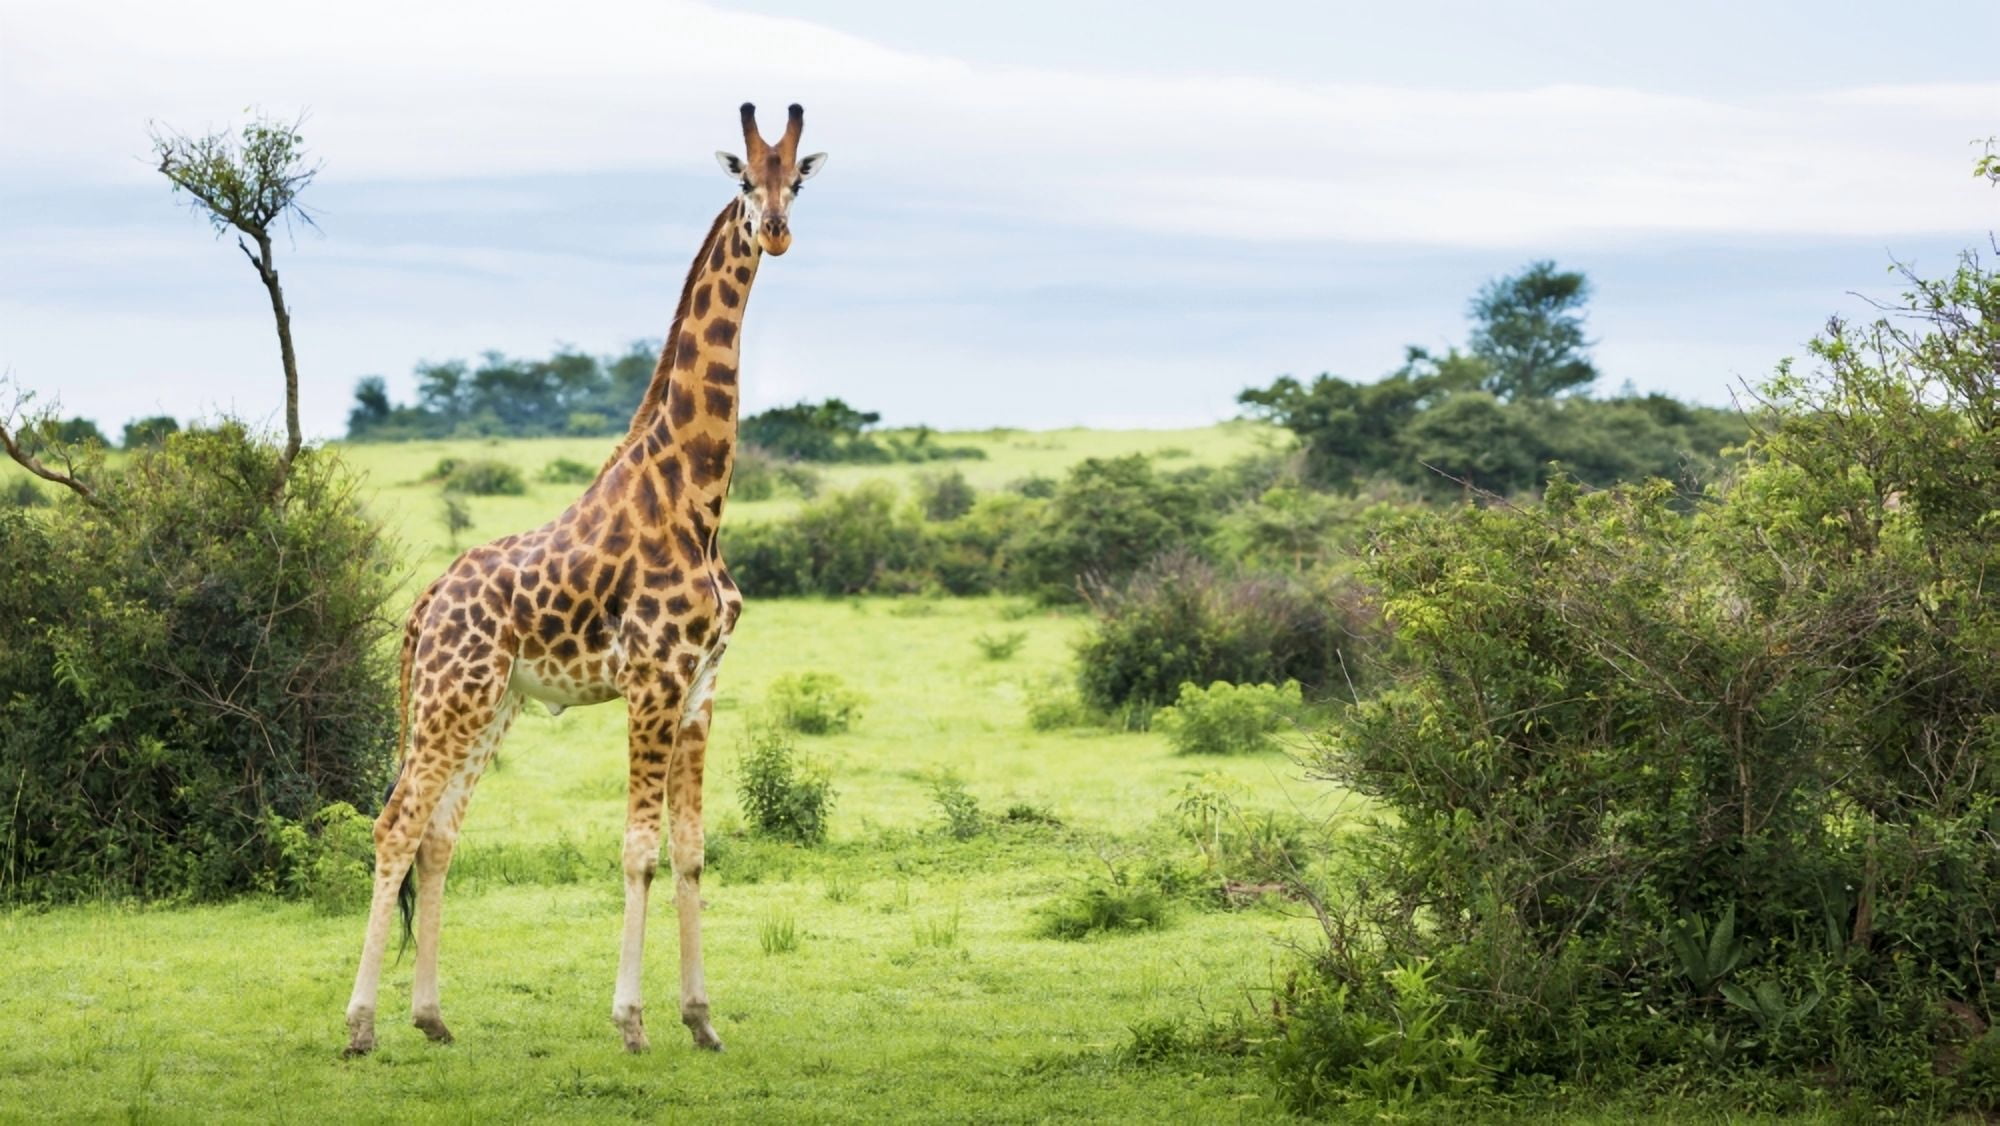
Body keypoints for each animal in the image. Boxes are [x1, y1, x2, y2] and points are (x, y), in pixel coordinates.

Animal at [342, 103, 827, 1058]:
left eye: (798, 179)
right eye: (744, 182)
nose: (777, 231)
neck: (698, 495)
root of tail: (424, 605)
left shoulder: (702, 686)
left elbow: (691, 848)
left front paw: (703, 1021)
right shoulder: (653, 680)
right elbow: (638, 849)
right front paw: (632, 1022)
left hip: (490, 706)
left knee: (440, 835)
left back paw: (432, 1017)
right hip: (449, 701)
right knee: (394, 826)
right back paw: (360, 1026)